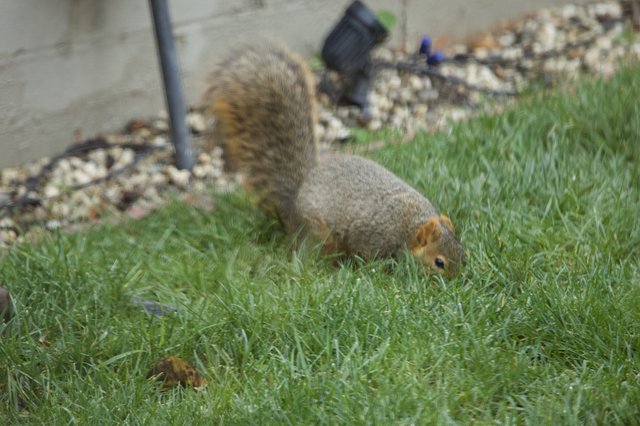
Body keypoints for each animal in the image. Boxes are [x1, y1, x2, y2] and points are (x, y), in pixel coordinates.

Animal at [206, 41, 465, 276]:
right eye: (439, 263)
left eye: (463, 253)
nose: (457, 281)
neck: (410, 227)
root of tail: (294, 204)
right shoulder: (375, 236)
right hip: (320, 233)